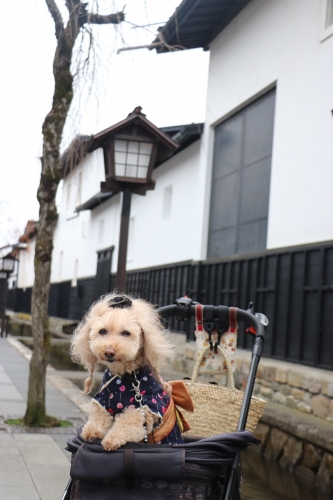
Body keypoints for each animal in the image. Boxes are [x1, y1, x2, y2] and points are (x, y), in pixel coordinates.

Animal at [70, 292, 189, 452]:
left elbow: (128, 424)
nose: (109, 352)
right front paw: (91, 431)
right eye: (102, 331)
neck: (126, 374)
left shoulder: (144, 409)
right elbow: (98, 417)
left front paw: (111, 440)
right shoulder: (103, 400)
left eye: (126, 333)